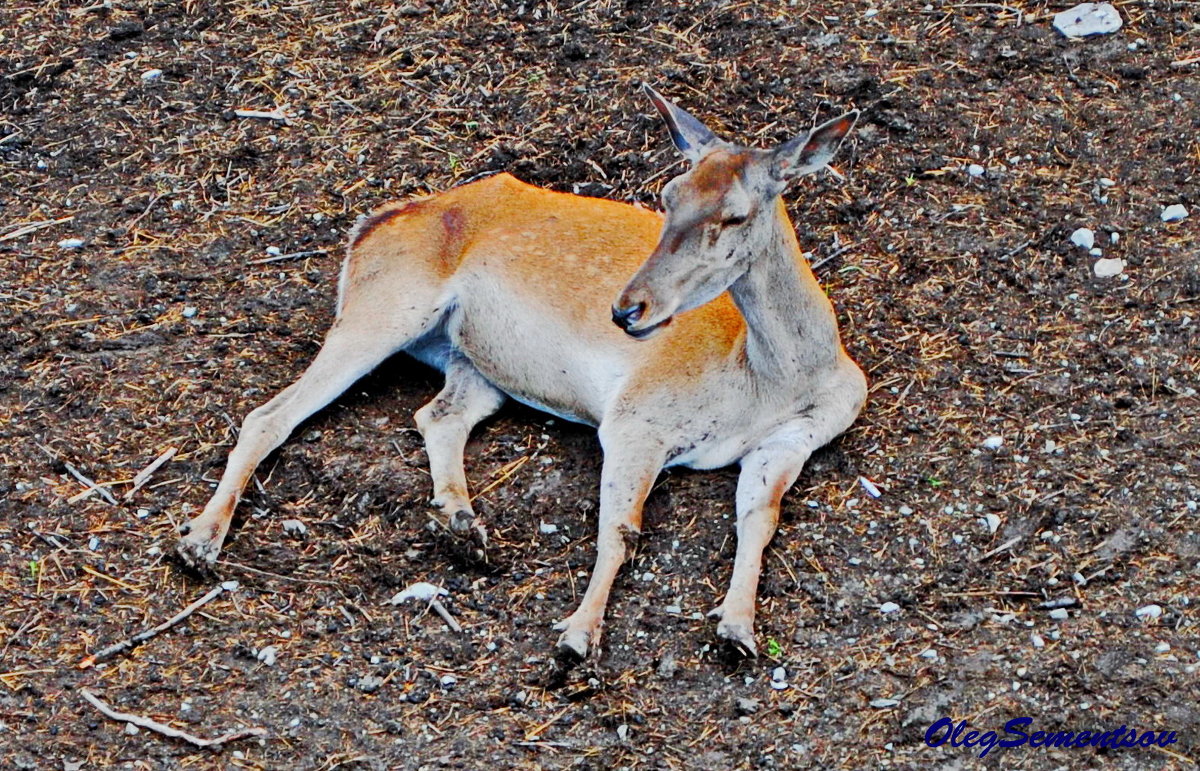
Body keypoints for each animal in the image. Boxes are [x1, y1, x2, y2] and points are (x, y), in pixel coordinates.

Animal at [177, 85, 868, 662]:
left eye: (735, 214)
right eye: (667, 196)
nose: (627, 309)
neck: (767, 382)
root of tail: (372, 224)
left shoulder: (794, 440)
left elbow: (760, 520)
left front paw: (738, 628)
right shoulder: (635, 416)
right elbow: (620, 528)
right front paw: (577, 637)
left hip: (476, 361)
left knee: (438, 413)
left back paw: (463, 526)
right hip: (384, 303)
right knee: (271, 414)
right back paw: (197, 541)